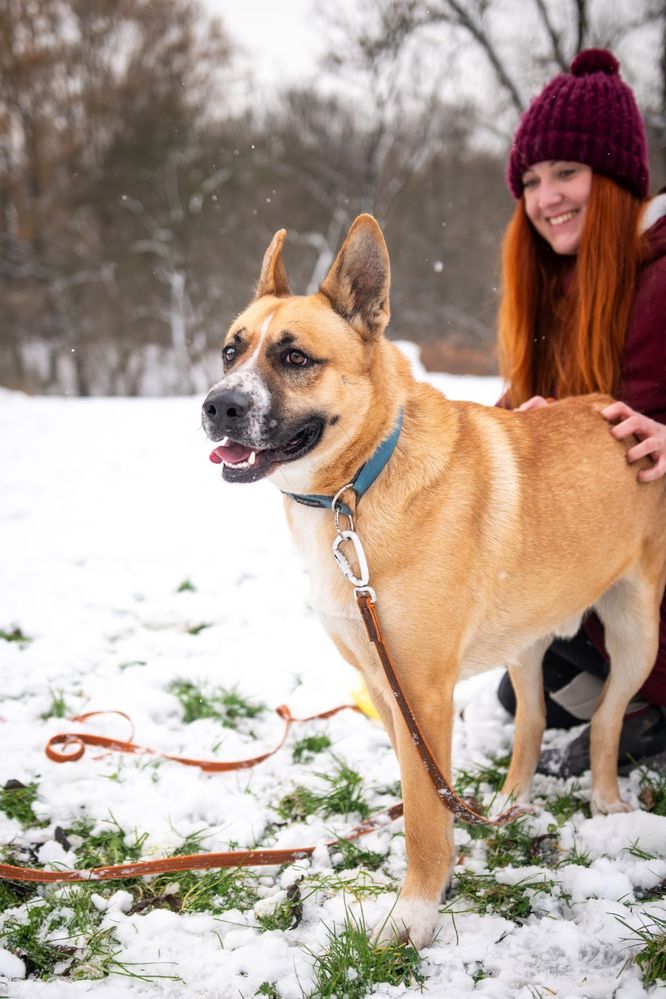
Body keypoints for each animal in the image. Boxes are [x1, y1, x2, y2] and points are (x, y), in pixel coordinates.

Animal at [201, 215, 664, 948]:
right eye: (230, 352)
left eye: (296, 358)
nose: (217, 407)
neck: (354, 491)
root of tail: (609, 409)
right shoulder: (384, 685)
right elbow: (427, 796)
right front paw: (439, 878)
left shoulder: (420, 688)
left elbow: (422, 813)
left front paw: (413, 916)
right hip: (525, 635)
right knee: (532, 717)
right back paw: (508, 803)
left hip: (636, 633)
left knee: (607, 722)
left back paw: (608, 804)